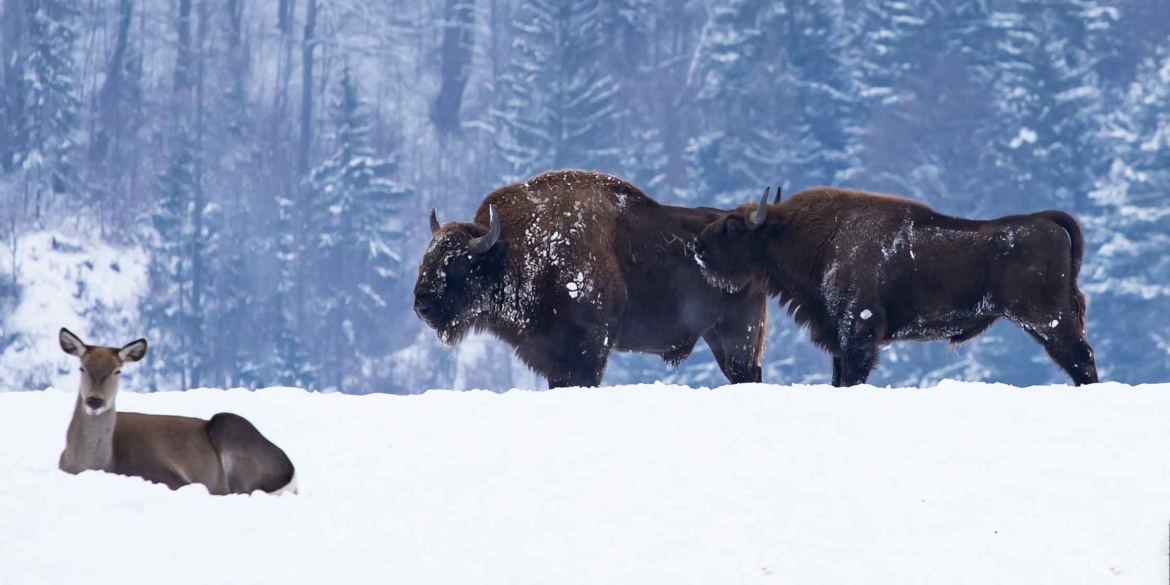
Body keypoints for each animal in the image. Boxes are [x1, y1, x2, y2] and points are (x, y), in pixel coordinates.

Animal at [57, 327, 299, 496]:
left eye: (117, 371)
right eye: (82, 367)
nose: (95, 401)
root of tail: (291, 473)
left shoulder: (167, 474)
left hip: (231, 431)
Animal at [411, 169, 767, 388]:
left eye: (458, 263)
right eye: (427, 258)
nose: (421, 303)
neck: (516, 248)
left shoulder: (590, 349)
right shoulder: (554, 360)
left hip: (740, 335)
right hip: (717, 336)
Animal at [692, 187, 1095, 386]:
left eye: (733, 227)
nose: (698, 246)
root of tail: (1043, 220)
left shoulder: (858, 333)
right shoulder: (838, 341)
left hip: (1046, 319)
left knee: (1081, 358)